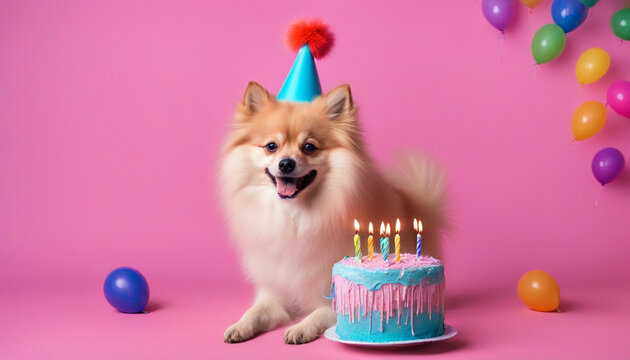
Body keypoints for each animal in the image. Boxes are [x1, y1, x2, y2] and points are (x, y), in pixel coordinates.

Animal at [221, 81, 450, 346]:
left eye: (309, 147)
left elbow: (319, 313)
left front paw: (300, 328)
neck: (295, 217)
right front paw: (239, 327)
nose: (286, 163)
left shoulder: (331, 297)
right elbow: (256, 311)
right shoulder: (275, 295)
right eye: (271, 146)